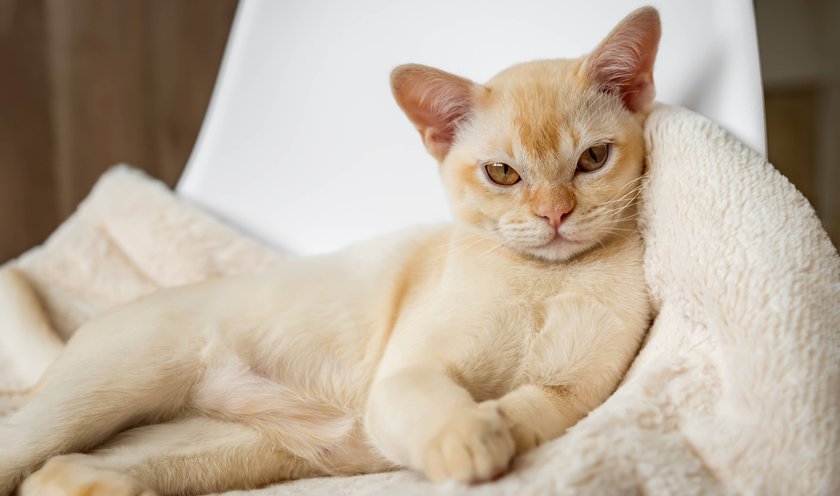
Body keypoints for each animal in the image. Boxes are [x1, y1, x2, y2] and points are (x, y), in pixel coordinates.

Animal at [0, 4, 660, 496]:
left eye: (592, 159)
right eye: (502, 173)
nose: (555, 214)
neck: (547, 280)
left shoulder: (573, 394)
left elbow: (525, 410)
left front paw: (495, 425)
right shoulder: (407, 376)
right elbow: (442, 402)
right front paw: (470, 440)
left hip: (215, 451)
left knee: (59, 473)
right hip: (92, 398)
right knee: (23, 447)